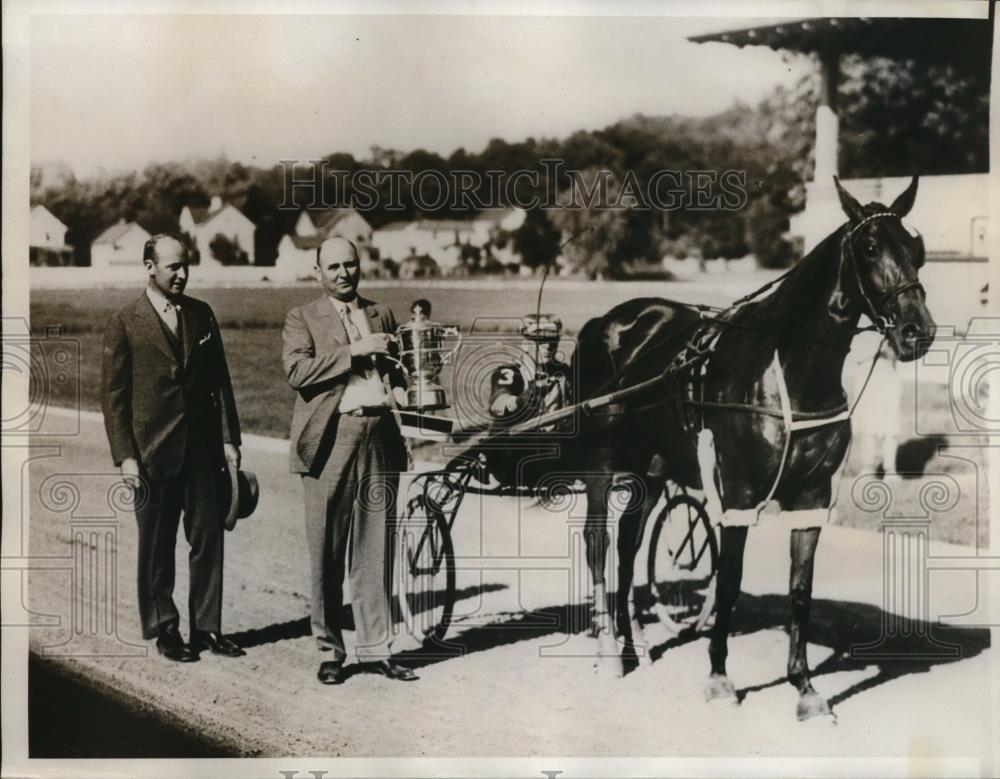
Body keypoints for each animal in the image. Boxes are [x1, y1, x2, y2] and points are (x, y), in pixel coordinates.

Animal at [572, 177, 936, 720]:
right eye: (870, 247)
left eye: (915, 248)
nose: (918, 331)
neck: (785, 370)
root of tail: (605, 322)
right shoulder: (739, 496)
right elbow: (727, 583)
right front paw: (720, 678)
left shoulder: (812, 496)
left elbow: (800, 590)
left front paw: (805, 687)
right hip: (602, 462)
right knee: (598, 544)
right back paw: (607, 651)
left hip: (651, 470)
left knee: (629, 547)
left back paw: (631, 643)